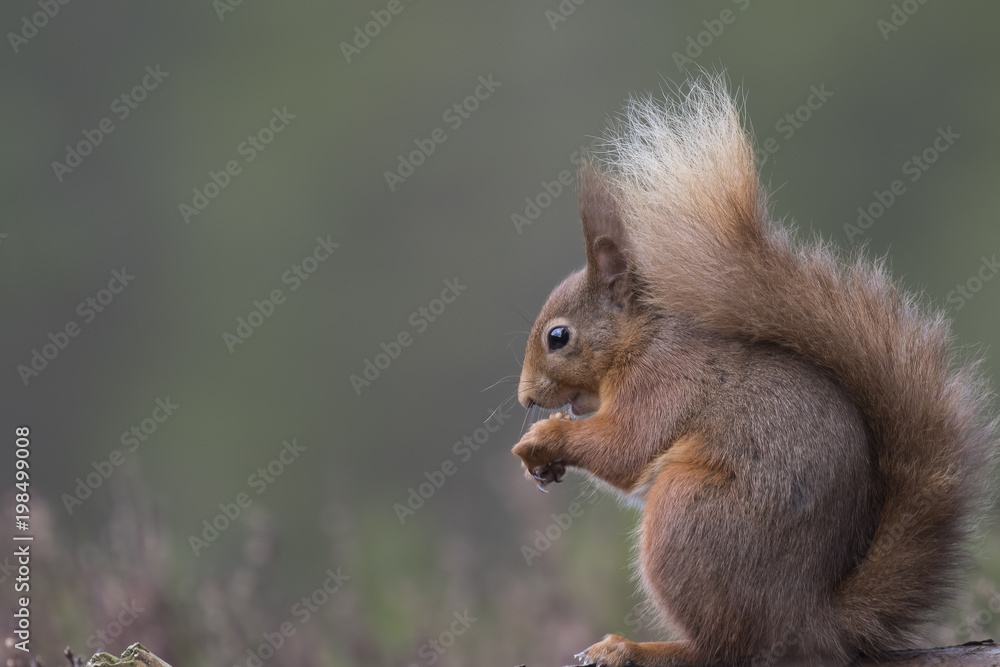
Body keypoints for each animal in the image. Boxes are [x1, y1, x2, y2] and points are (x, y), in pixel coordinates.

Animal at [511, 77, 997, 666]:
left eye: (558, 337)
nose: (525, 398)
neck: (641, 343)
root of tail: (810, 624)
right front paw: (542, 467)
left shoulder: (664, 383)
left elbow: (625, 447)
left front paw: (544, 438)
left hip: (689, 519)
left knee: (726, 649)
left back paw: (636, 648)